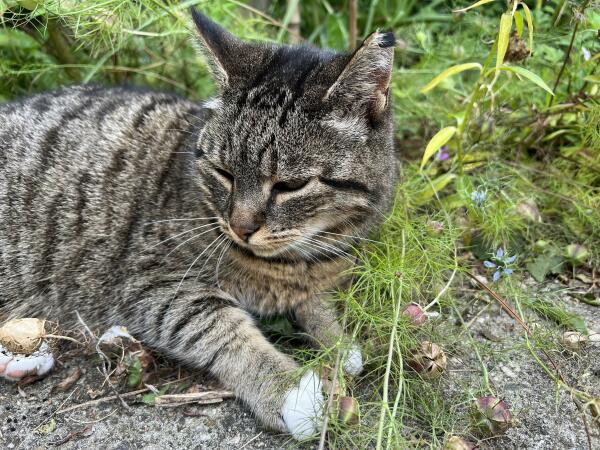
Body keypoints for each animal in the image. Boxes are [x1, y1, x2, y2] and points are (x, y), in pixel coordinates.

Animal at [0, 9, 398, 440]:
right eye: (224, 173)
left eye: (289, 186)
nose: (241, 227)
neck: (295, 260)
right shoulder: (153, 286)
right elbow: (220, 328)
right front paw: (286, 388)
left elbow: (318, 304)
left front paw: (339, 342)